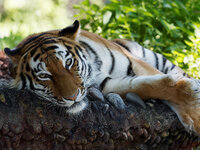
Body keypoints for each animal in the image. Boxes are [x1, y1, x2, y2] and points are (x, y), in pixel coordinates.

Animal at [3, 19, 200, 134]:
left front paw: (195, 111)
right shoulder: (108, 84)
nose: (72, 97)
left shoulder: (135, 62)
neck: (92, 71)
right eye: (44, 75)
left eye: (68, 63)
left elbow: (157, 77)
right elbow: (146, 86)